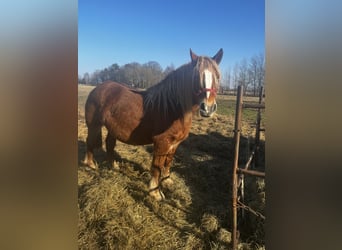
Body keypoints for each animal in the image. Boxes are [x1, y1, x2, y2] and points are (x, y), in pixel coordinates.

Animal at [82, 48, 223, 199]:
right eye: (196, 77)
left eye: (217, 77)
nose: (208, 108)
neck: (173, 108)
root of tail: (98, 88)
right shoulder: (161, 142)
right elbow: (157, 166)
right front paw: (155, 192)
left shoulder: (175, 143)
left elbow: (168, 162)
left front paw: (167, 180)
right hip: (94, 125)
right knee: (90, 142)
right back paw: (91, 165)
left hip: (112, 128)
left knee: (109, 144)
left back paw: (113, 166)